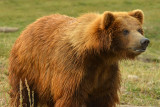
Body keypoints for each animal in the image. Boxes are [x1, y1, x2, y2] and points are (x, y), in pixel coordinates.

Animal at [8, 9, 149, 106]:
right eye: (125, 31)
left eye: (139, 29)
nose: (144, 41)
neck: (97, 55)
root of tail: (28, 27)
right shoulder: (73, 68)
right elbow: (69, 96)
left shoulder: (106, 72)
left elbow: (102, 97)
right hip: (28, 67)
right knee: (22, 93)